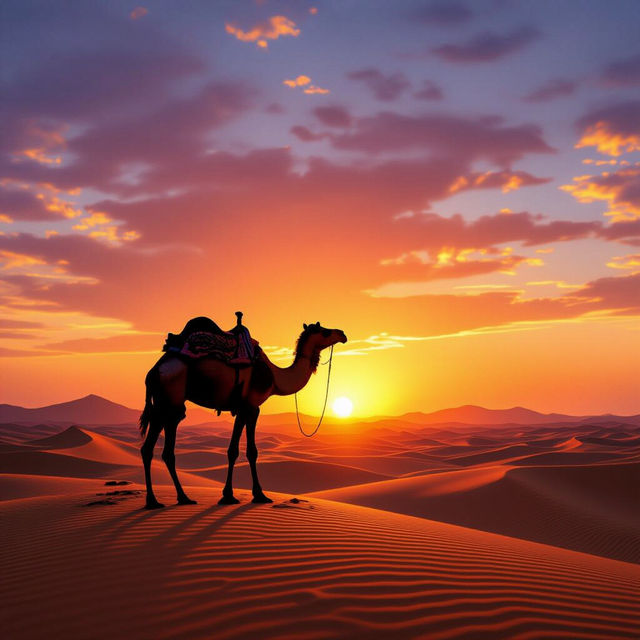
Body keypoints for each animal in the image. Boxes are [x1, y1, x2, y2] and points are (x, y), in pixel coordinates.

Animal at [139, 321, 347, 509]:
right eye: (324, 331)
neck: (275, 378)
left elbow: (236, 450)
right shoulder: (252, 406)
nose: (342, 334)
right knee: (160, 448)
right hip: (170, 400)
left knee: (154, 449)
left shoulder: (242, 408)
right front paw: (253, 495)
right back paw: (163, 500)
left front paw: (233, 495)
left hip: (164, 405)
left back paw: (171, 499)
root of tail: (154, 371)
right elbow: (247, 451)